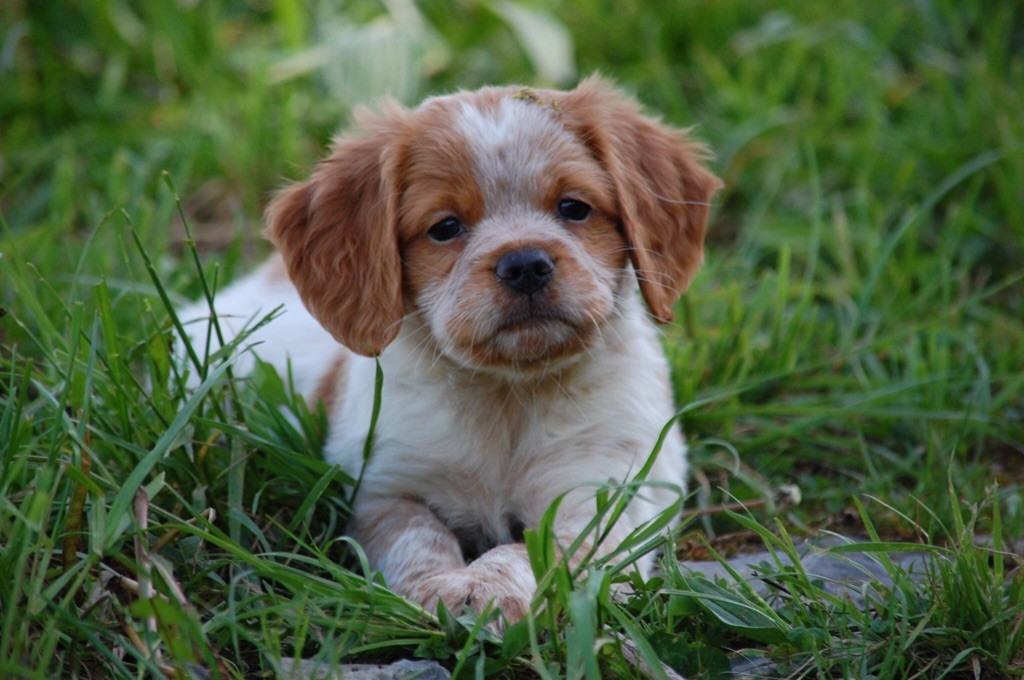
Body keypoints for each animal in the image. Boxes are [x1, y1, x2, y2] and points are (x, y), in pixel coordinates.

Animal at [176, 76, 720, 622]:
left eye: (574, 207)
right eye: (445, 228)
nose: (524, 264)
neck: (508, 395)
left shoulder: (598, 497)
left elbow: (529, 550)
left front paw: (486, 588)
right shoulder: (384, 486)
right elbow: (418, 537)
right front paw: (439, 589)